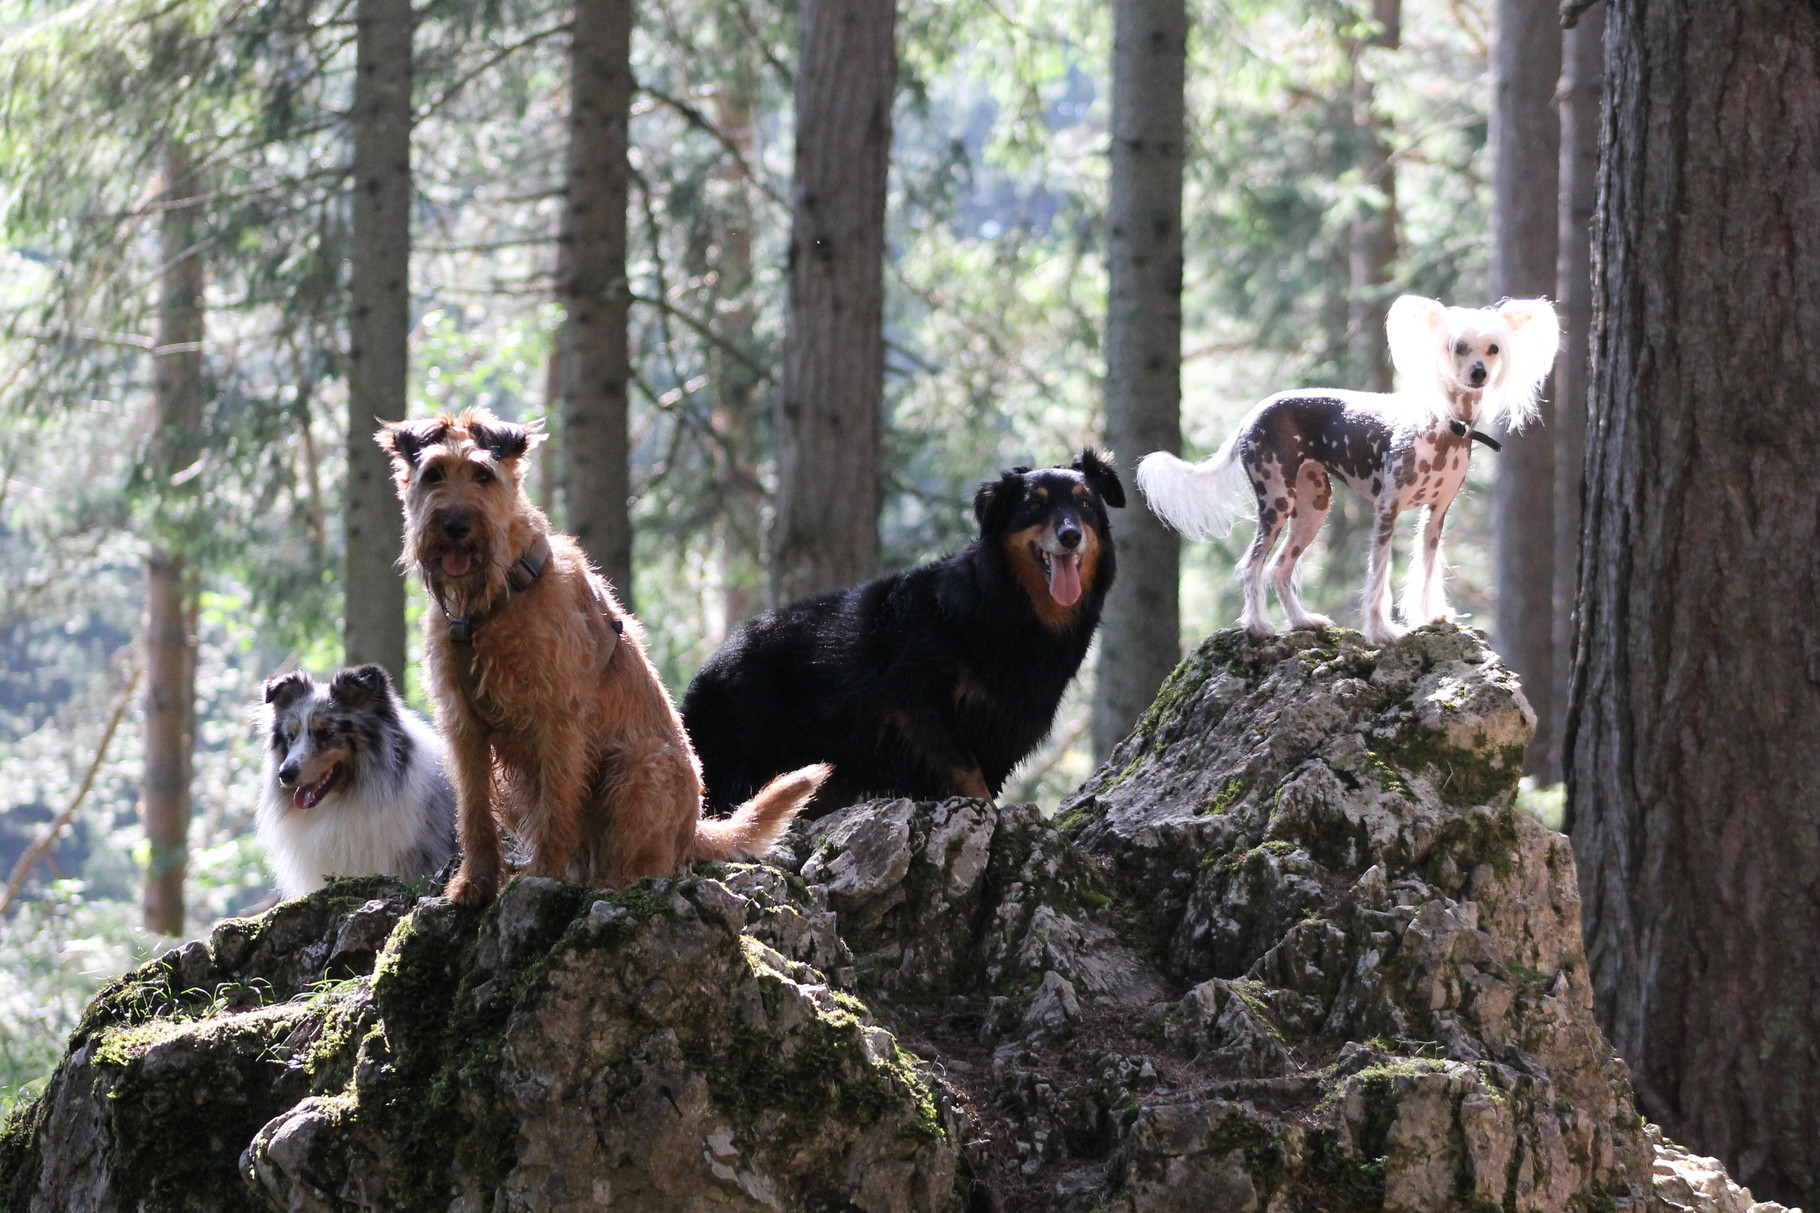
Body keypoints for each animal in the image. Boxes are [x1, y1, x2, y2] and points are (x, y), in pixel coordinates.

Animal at [378, 411, 833, 903]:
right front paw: (474, 884)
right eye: (434, 474)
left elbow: (556, 808)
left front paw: (541, 875)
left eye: (483, 474)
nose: (456, 526)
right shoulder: (465, 727)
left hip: (637, 765)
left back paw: (609, 884)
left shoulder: (557, 719)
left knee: (640, 866)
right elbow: (475, 814)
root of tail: (694, 828)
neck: (495, 598)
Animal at [680, 451, 1113, 812]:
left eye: (1085, 504)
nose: (1070, 535)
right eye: (1034, 506)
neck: (1004, 602)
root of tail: (714, 665)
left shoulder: (1004, 725)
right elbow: (966, 771)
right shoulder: (918, 704)